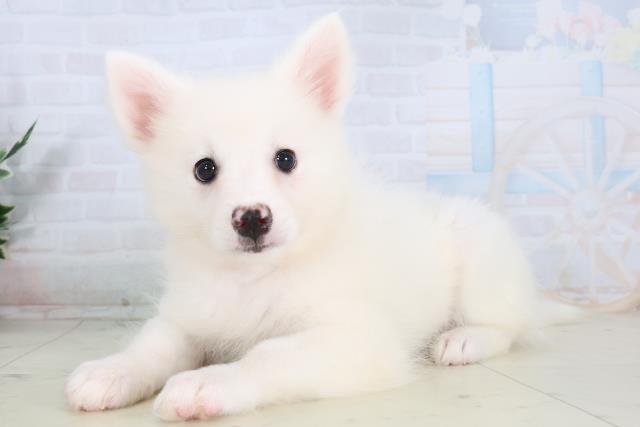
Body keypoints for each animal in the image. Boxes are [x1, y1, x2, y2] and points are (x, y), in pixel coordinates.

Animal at [66, 14, 550, 421]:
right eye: (205, 169)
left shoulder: (356, 339)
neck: (254, 278)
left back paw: (463, 339)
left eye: (286, 159)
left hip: (481, 264)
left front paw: (207, 383)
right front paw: (112, 370)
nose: (252, 218)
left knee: (508, 325)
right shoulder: (187, 316)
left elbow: (269, 355)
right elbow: (153, 345)